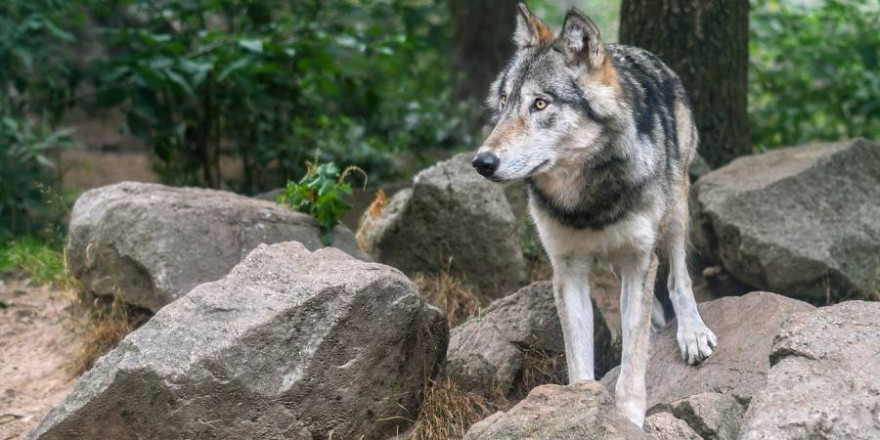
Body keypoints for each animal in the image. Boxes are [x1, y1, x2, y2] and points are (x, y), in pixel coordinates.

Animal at [470, 3, 720, 428]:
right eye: (503, 103)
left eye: (540, 104)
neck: (587, 200)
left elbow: (632, 362)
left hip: (675, 207)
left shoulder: (639, 257)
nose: (482, 162)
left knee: (678, 277)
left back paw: (691, 331)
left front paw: (628, 419)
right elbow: (580, 360)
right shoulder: (567, 270)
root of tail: (638, 51)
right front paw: (579, 408)